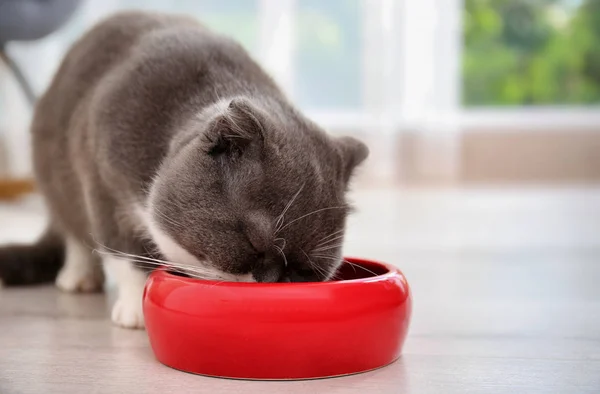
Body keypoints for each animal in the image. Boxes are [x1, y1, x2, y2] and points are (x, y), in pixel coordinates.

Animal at [0, 10, 366, 330]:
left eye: (305, 270)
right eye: (253, 243)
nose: (270, 282)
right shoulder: (104, 181)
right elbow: (123, 252)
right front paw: (136, 309)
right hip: (54, 176)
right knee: (73, 230)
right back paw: (78, 276)